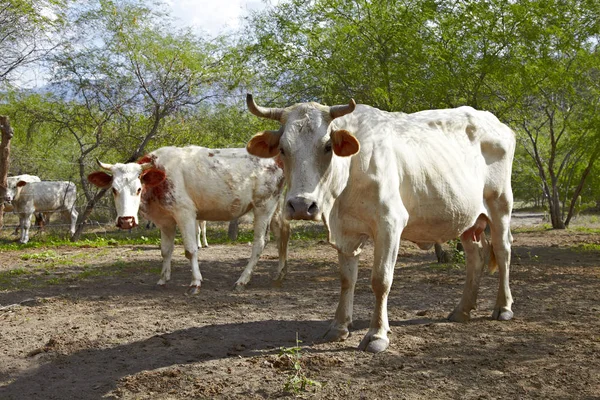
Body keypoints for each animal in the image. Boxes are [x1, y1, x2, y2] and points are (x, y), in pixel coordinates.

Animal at [86, 145, 290, 292]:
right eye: (114, 190)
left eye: (138, 189)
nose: (126, 220)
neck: (161, 176)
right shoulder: (165, 220)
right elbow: (165, 250)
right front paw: (162, 279)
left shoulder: (185, 214)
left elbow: (191, 250)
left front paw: (195, 282)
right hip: (276, 206)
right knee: (283, 233)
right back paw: (279, 275)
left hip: (264, 206)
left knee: (260, 243)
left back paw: (242, 280)